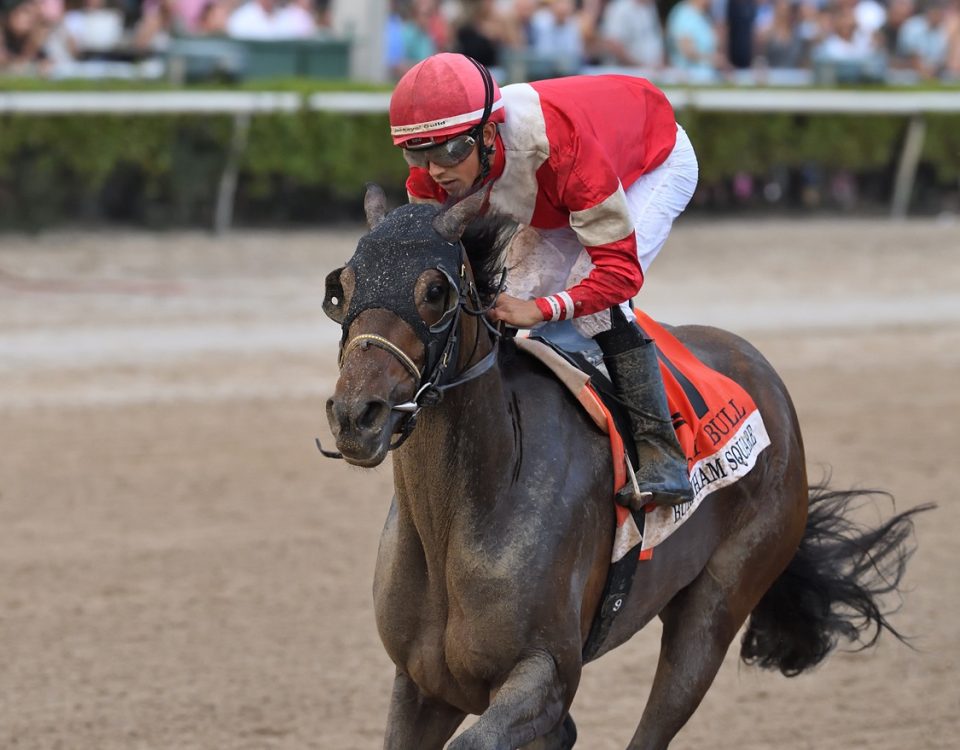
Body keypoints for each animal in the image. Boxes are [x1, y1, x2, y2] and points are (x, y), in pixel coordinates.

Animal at [322, 187, 928, 750]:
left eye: (435, 291)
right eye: (341, 289)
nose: (356, 414)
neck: (459, 518)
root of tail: (765, 375)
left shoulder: (545, 675)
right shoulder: (422, 686)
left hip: (715, 609)